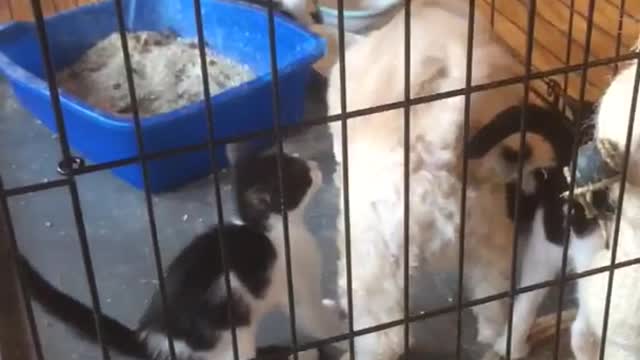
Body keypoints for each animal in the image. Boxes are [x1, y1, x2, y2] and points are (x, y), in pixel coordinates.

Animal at [17, 153, 344, 360]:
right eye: (299, 175)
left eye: (296, 159)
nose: (315, 165)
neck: (270, 229)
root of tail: (154, 337)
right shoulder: (295, 283)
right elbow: (312, 315)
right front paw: (340, 334)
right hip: (231, 330)